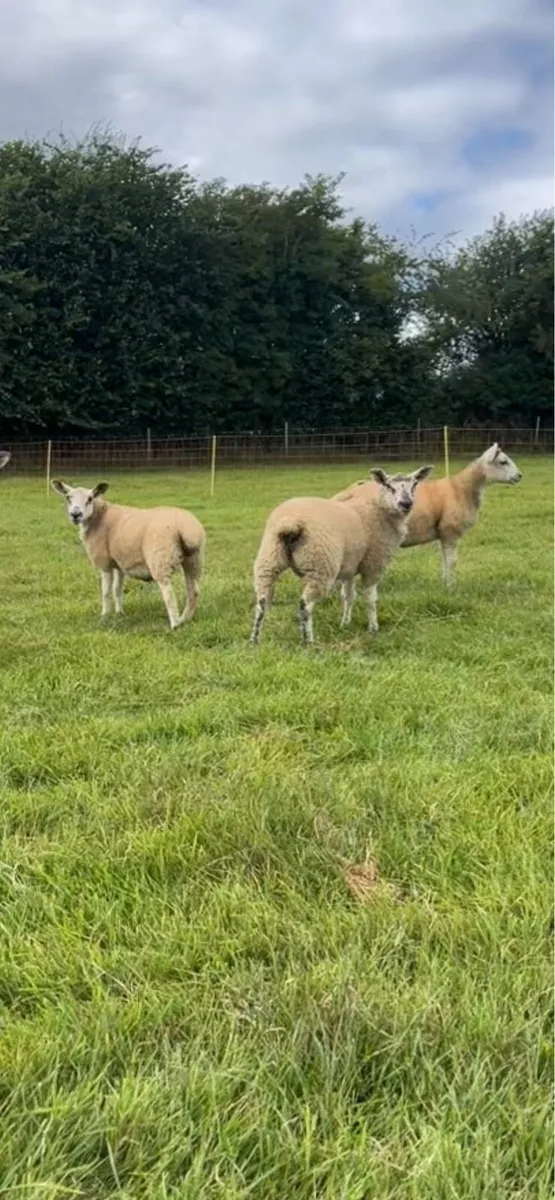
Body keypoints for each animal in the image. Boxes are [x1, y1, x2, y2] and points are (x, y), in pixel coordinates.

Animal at [51, 479, 205, 629]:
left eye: (90, 499)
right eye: (68, 498)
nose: (75, 514)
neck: (99, 517)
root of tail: (186, 528)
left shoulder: (104, 562)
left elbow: (106, 591)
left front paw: (105, 615)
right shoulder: (119, 562)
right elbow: (117, 589)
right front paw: (119, 613)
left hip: (160, 559)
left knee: (168, 593)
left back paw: (175, 624)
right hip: (194, 558)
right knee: (193, 590)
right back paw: (185, 619)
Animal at [250, 465, 433, 646]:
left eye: (414, 485)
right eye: (389, 486)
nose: (406, 503)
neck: (379, 509)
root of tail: (290, 525)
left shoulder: (349, 567)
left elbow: (349, 596)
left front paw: (345, 623)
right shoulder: (374, 564)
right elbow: (370, 598)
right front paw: (373, 628)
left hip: (268, 560)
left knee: (261, 603)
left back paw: (255, 640)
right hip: (319, 567)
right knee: (305, 605)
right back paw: (308, 641)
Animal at [334, 443, 522, 587]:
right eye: (503, 462)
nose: (519, 476)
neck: (462, 488)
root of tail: (348, 493)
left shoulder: (442, 534)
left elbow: (444, 561)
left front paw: (445, 584)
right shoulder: (450, 531)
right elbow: (452, 562)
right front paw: (451, 587)